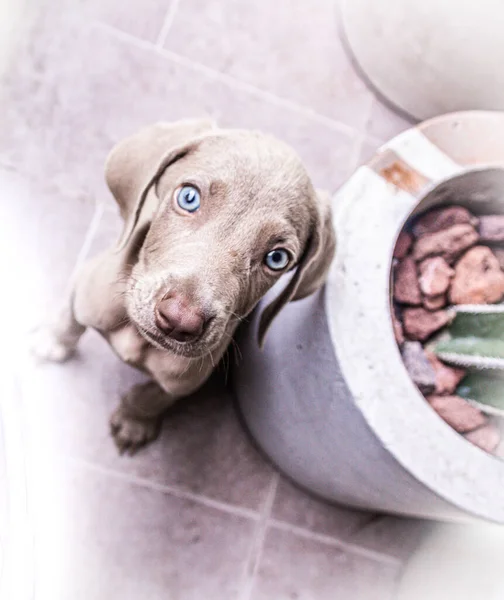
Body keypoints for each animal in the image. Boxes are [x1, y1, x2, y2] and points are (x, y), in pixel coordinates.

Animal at [30, 119, 334, 452]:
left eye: (277, 258)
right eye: (189, 197)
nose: (178, 320)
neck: (139, 339)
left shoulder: (186, 380)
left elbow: (153, 396)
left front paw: (134, 421)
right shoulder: (86, 288)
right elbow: (69, 320)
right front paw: (52, 341)